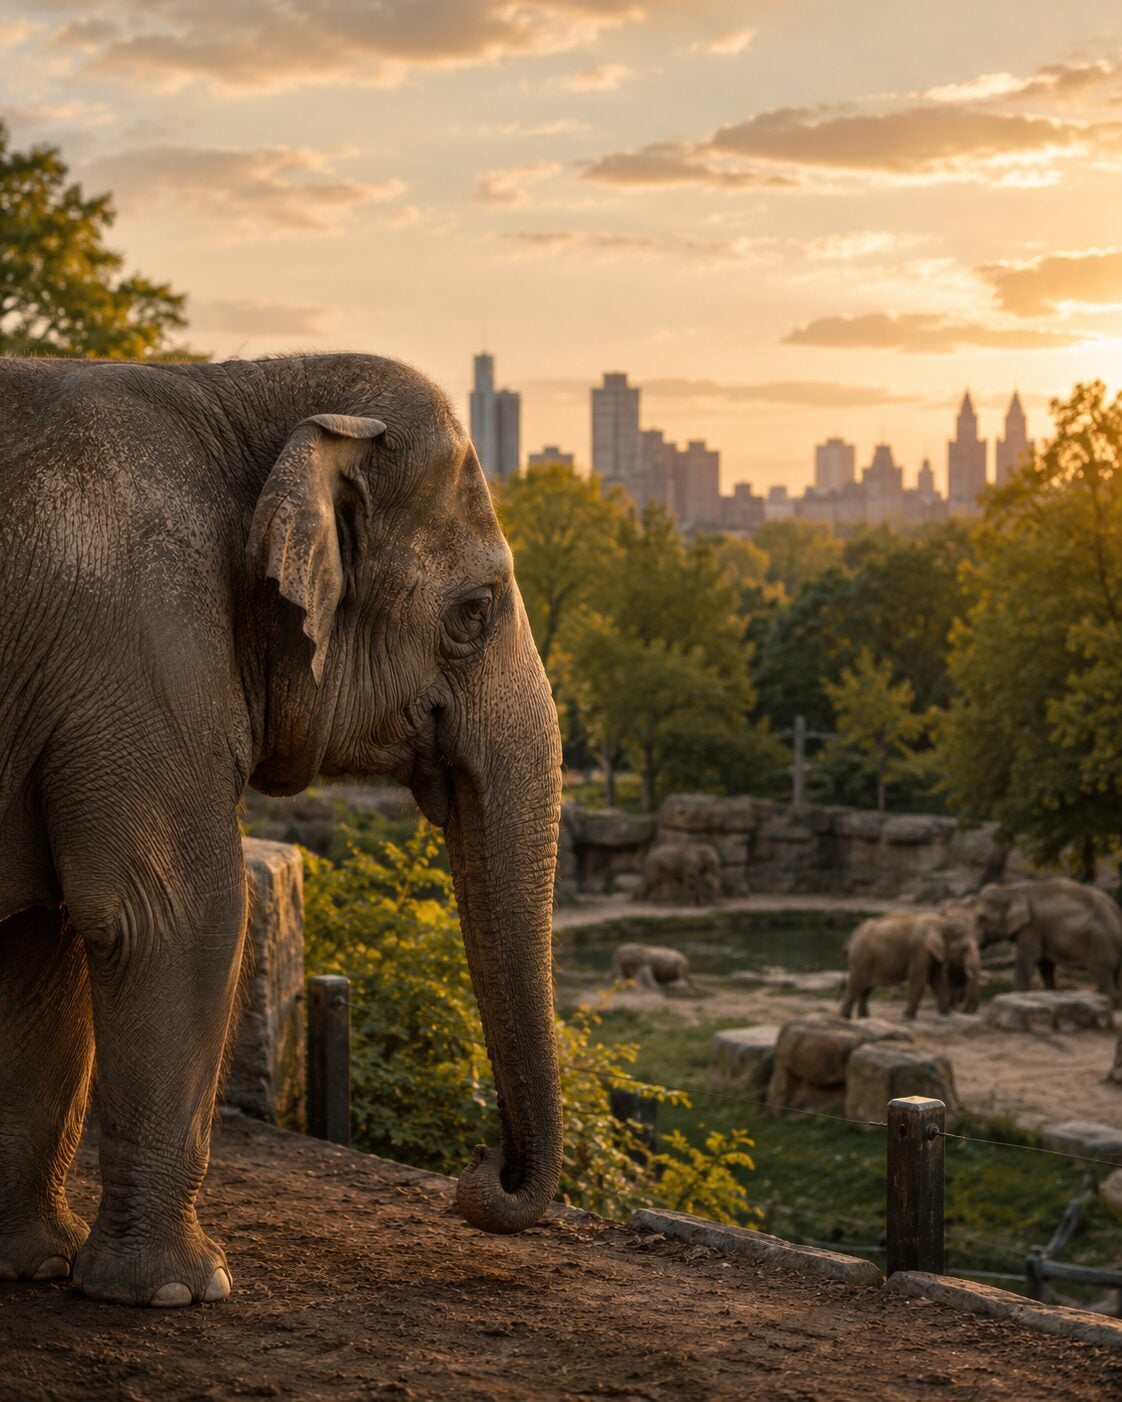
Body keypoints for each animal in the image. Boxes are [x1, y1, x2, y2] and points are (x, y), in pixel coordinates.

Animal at [0, 352, 563, 1306]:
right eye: (473, 611)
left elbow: (45, 940)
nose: (481, 1172)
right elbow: (170, 917)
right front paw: (179, 1293)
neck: (233, 391)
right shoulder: (141, 647)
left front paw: (34, 1265)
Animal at [840, 912, 981, 1021]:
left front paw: (945, 1015)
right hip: (861, 958)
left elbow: (938, 980)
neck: (943, 923)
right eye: (964, 948)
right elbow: (918, 980)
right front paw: (908, 1017)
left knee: (866, 988)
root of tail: (851, 937)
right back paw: (846, 1017)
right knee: (856, 986)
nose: (964, 1011)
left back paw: (864, 1017)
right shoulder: (919, 951)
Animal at [975, 878, 1122, 1004]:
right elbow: (1045, 965)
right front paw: (1050, 995)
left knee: (1102, 973)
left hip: (1101, 941)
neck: (1010, 889)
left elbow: (1028, 960)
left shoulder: (1032, 926)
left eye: (982, 918)